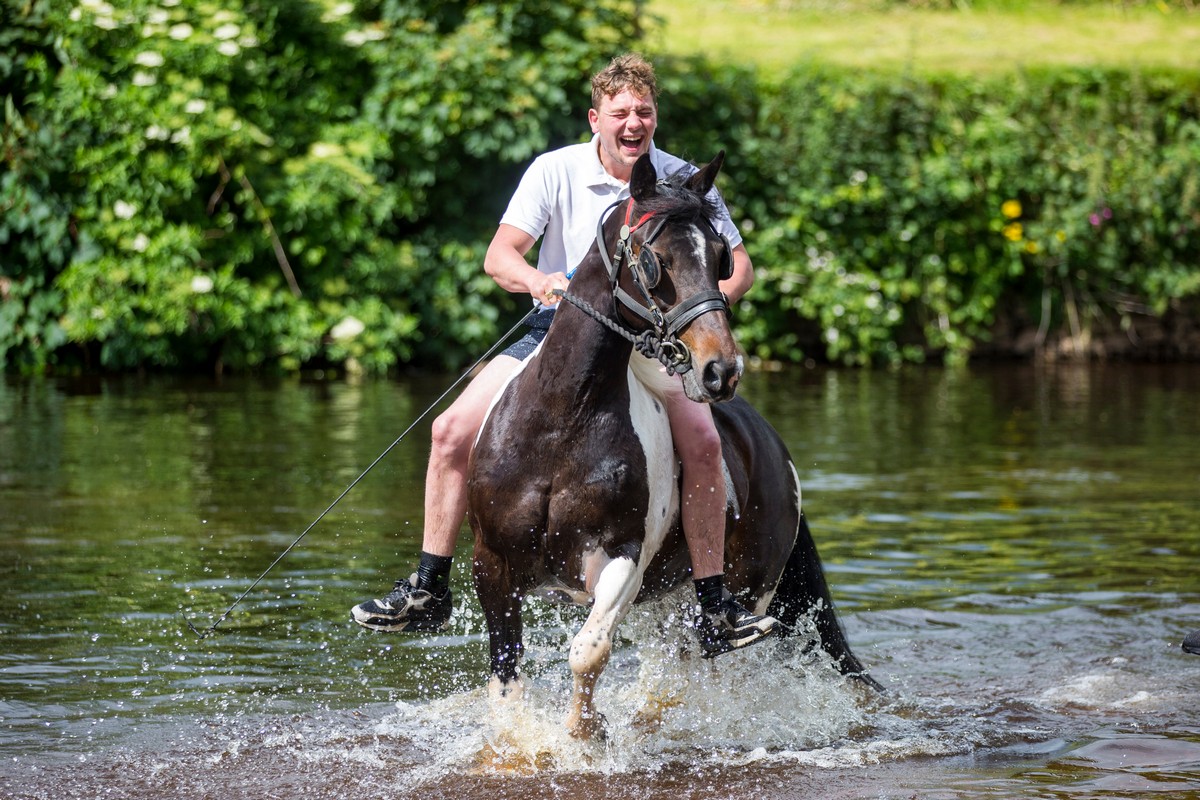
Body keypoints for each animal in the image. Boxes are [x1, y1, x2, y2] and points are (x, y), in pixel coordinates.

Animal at [463, 148, 878, 738]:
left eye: (722, 258)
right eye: (655, 260)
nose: (722, 370)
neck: (562, 422)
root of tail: (778, 451)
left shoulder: (623, 559)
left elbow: (588, 651)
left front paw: (585, 736)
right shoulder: (492, 564)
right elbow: (505, 680)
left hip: (743, 593)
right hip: (664, 606)